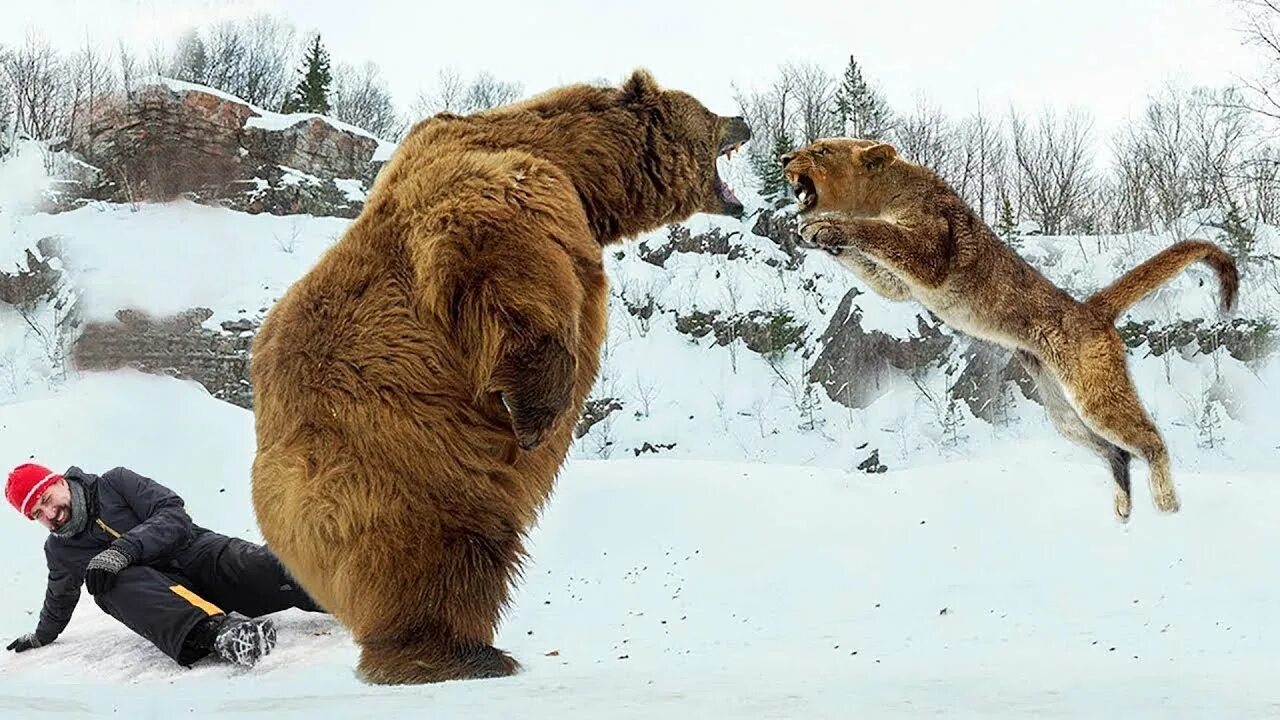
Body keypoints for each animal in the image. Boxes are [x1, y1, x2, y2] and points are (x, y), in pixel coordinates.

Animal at [247, 70, 747, 681]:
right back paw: (455, 653)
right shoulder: (507, 191)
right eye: (706, 111)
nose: (745, 120)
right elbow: (507, 267)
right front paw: (538, 417)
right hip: (400, 455)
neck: (583, 172)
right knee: (443, 553)